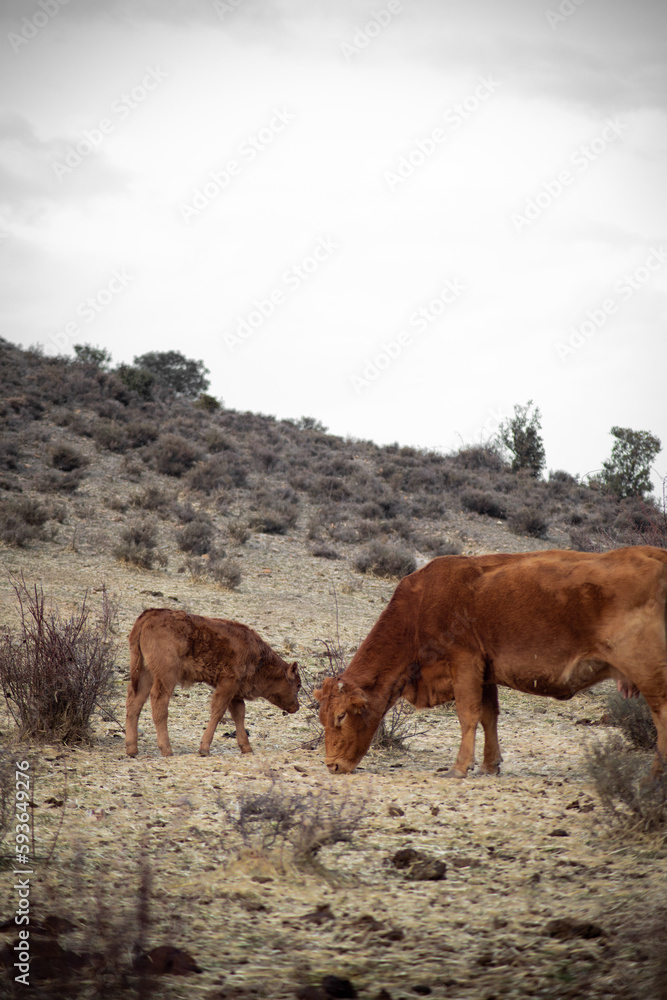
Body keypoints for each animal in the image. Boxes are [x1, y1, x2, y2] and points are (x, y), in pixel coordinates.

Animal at [125, 609, 301, 757]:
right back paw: (167, 749)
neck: (258, 656)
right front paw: (204, 748)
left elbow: (239, 715)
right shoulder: (228, 684)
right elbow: (218, 711)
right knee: (159, 702)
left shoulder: (236, 692)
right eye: (298, 685)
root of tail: (151, 613)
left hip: (145, 674)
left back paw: (132, 749)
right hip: (166, 676)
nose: (297, 707)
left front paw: (246, 747)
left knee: (135, 702)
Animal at [314, 547, 667, 777]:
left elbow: (467, 715)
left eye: (342, 716)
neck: (419, 609)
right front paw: (489, 765)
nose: (332, 765)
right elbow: (488, 716)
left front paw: (459, 767)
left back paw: (654, 777)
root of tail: (653, 553)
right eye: (322, 716)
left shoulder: (464, 663)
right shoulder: (485, 672)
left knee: (661, 718)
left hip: (649, 673)